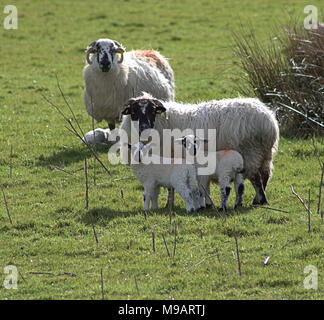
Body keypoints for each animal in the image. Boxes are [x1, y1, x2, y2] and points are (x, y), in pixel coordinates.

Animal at [120, 92, 280, 208]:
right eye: (133, 112)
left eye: (153, 111)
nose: (144, 129)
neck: (163, 124)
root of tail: (268, 119)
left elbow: (171, 186)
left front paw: (169, 205)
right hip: (264, 154)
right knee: (265, 175)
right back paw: (257, 200)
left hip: (251, 152)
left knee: (256, 178)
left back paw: (260, 201)